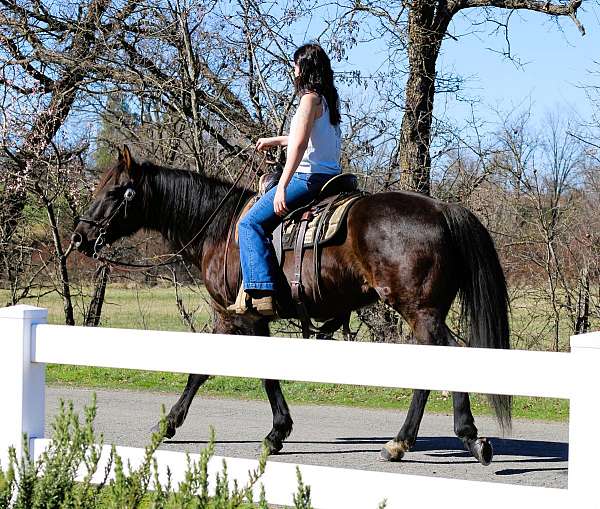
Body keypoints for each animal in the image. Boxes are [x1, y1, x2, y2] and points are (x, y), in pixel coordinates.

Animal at [71, 147, 510, 464]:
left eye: (114, 192)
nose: (79, 237)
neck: (221, 230)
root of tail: (443, 209)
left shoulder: (235, 314)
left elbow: (217, 371)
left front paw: (175, 424)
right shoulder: (247, 316)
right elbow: (248, 373)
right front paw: (274, 430)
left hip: (418, 309)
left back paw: (407, 442)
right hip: (429, 310)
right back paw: (458, 439)